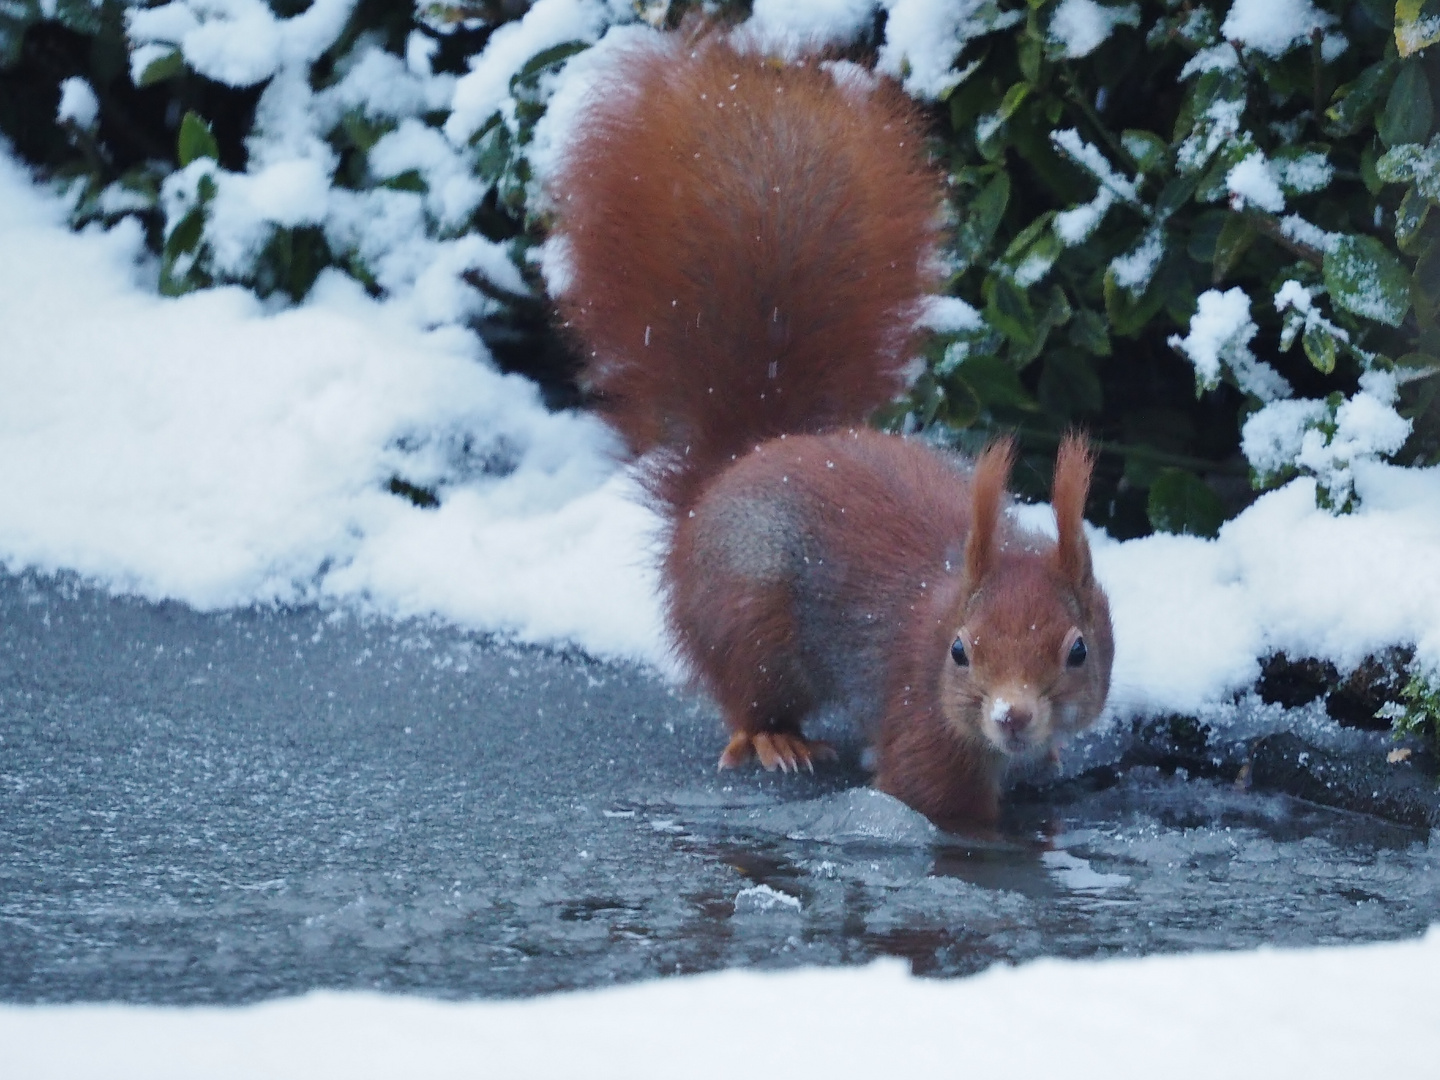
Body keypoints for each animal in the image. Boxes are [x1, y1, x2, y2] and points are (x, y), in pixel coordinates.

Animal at [547, 27, 1111, 829]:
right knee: (747, 694)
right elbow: (942, 806)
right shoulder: (921, 726)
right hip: (748, 619)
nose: (1013, 717)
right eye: (960, 652)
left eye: (1078, 652)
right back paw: (774, 739)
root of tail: (736, 465)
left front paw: (1052, 756)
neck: (942, 610)